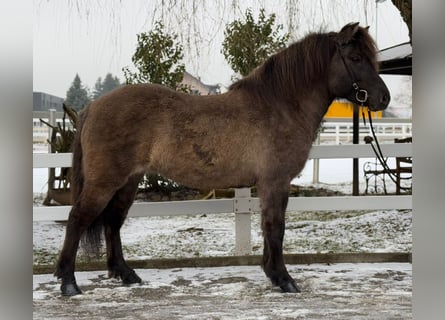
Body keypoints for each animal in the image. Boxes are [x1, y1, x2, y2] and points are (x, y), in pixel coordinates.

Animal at [54, 23, 388, 298]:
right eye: (355, 59)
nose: (383, 98)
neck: (278, 107)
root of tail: (93, 107)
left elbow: (268, 227)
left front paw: (272, 274)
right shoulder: (276, 183)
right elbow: (275, 227)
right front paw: (284, 280)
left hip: (128, 181)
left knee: (113, 222)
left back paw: (125, 274)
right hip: (105, 181)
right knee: (78, 219)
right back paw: (69, 283)